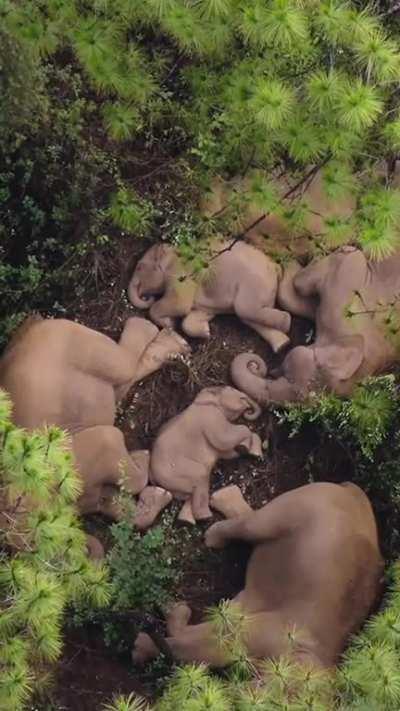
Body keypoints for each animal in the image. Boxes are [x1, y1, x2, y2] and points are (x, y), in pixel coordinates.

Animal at [128, 240, 292, 354]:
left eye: (139, 267)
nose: (146, 297)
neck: (173, 252)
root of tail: (275, 268)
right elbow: (192, 317)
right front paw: (206, 333)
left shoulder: (181, 275)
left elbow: (180, 304)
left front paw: (170, 323)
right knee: (248, 318)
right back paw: (282, 346)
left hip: (254, 284)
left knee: (245, 310)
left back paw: (286, 322)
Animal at [132, 481, 384, 670]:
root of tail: (351, 492)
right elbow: (206, 646)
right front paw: (142, 646)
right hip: (298, 504)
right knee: (250, 524)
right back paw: (215, 533)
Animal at [148, 386, 263, 523]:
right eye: (230, 388)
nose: (248, 410)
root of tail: (152, 476)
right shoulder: (211, 416)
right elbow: (224, 439)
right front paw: (244, 446)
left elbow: (226, 452)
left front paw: (244, 450)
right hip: (175, 472)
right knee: (201, 476)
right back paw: (206, 518)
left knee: (190, 493)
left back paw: (187, 521)